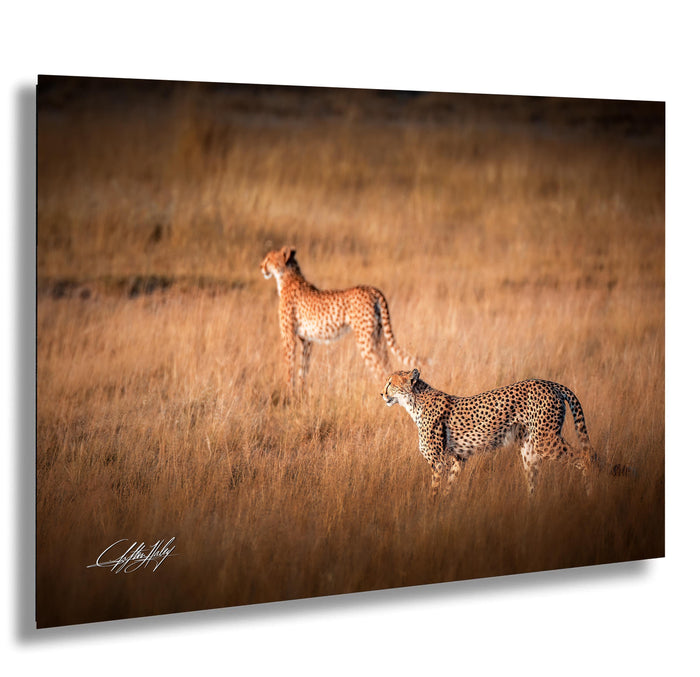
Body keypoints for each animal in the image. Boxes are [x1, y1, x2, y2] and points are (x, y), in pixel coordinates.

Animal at [260, 246, 418, 391]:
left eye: (268, 258)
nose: (261, 267)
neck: (287, 277)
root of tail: (371, 288)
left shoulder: (289, 338)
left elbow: (290, 367)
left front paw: (289, 392)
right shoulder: (306, 340)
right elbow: (302, 369)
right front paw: (301, 392)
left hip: (365, 340)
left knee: (380, 370)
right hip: (378, 337)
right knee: (387, 365)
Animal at [382, 368, 598, 498]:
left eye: (390, 383)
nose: (381, 394)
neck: (414, 401)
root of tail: (550, 383)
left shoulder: (438, 462)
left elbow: (434, 492)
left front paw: (430, 512)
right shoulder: (458, 459)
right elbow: (448, 489)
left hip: (545, 440)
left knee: (587, 455)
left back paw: (591, 496)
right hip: (529, 449)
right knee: (533, 480)